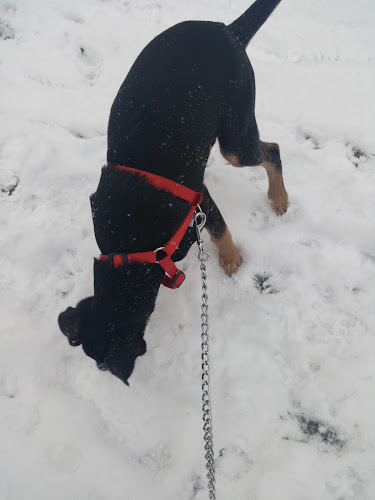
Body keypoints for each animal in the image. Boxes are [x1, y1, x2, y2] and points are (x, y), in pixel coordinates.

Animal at [58, 0, 288, 386]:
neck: (131, 251)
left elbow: (219, 229)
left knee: (272, 150)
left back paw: (279, 198)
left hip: (236, 136)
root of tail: (227, 29)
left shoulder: (197, 200)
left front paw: (231, 260)